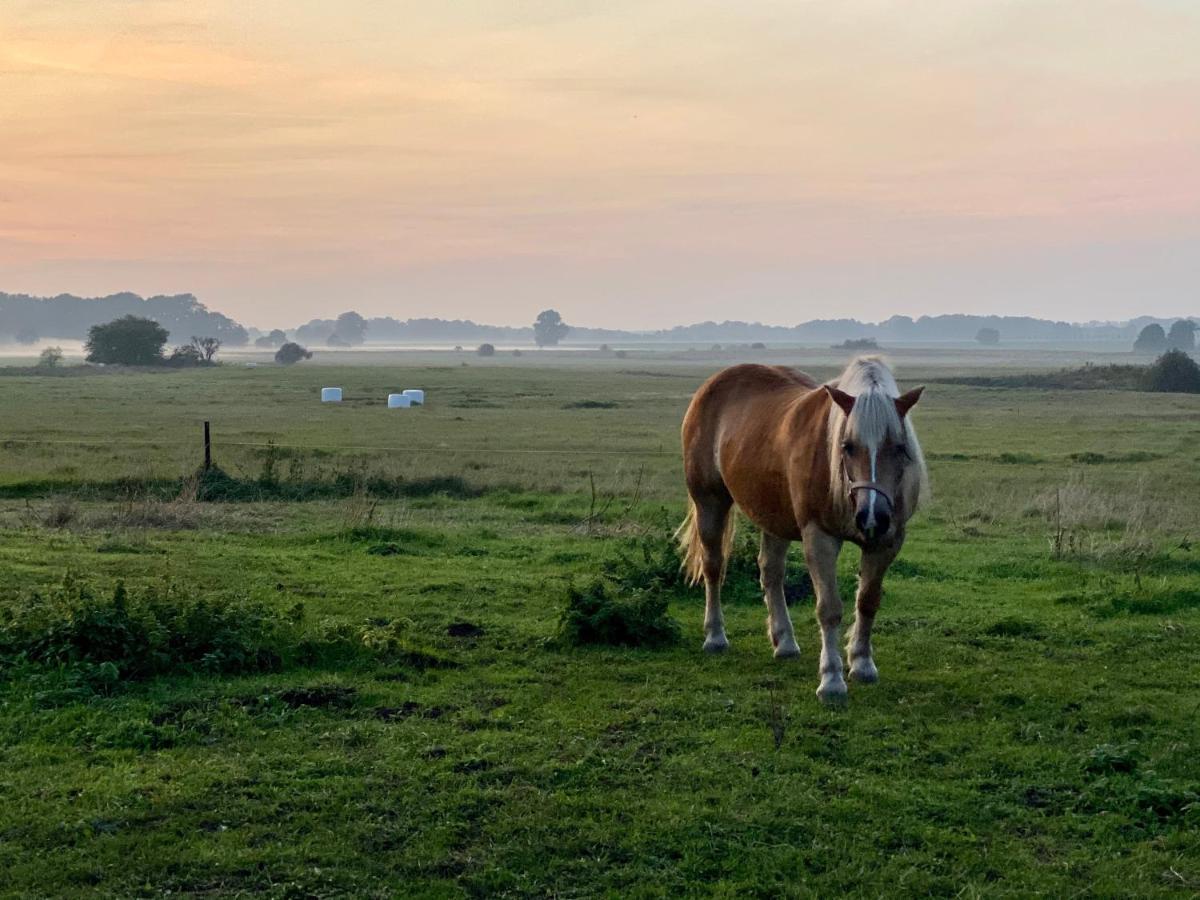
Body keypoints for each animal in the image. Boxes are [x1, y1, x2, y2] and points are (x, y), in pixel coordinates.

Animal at [676, 357, 926, 705]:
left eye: (900, 447)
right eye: (847, 446)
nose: (872, 516)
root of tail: (712, 384)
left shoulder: (887, 542)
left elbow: (868, 600)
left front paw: (862, 663)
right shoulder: (819, 538)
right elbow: (829, 608)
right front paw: (832, 680)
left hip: (774, 515)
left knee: (771, 572)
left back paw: (784, 642)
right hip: (709, 502)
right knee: (714, 568)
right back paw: (715, 636)